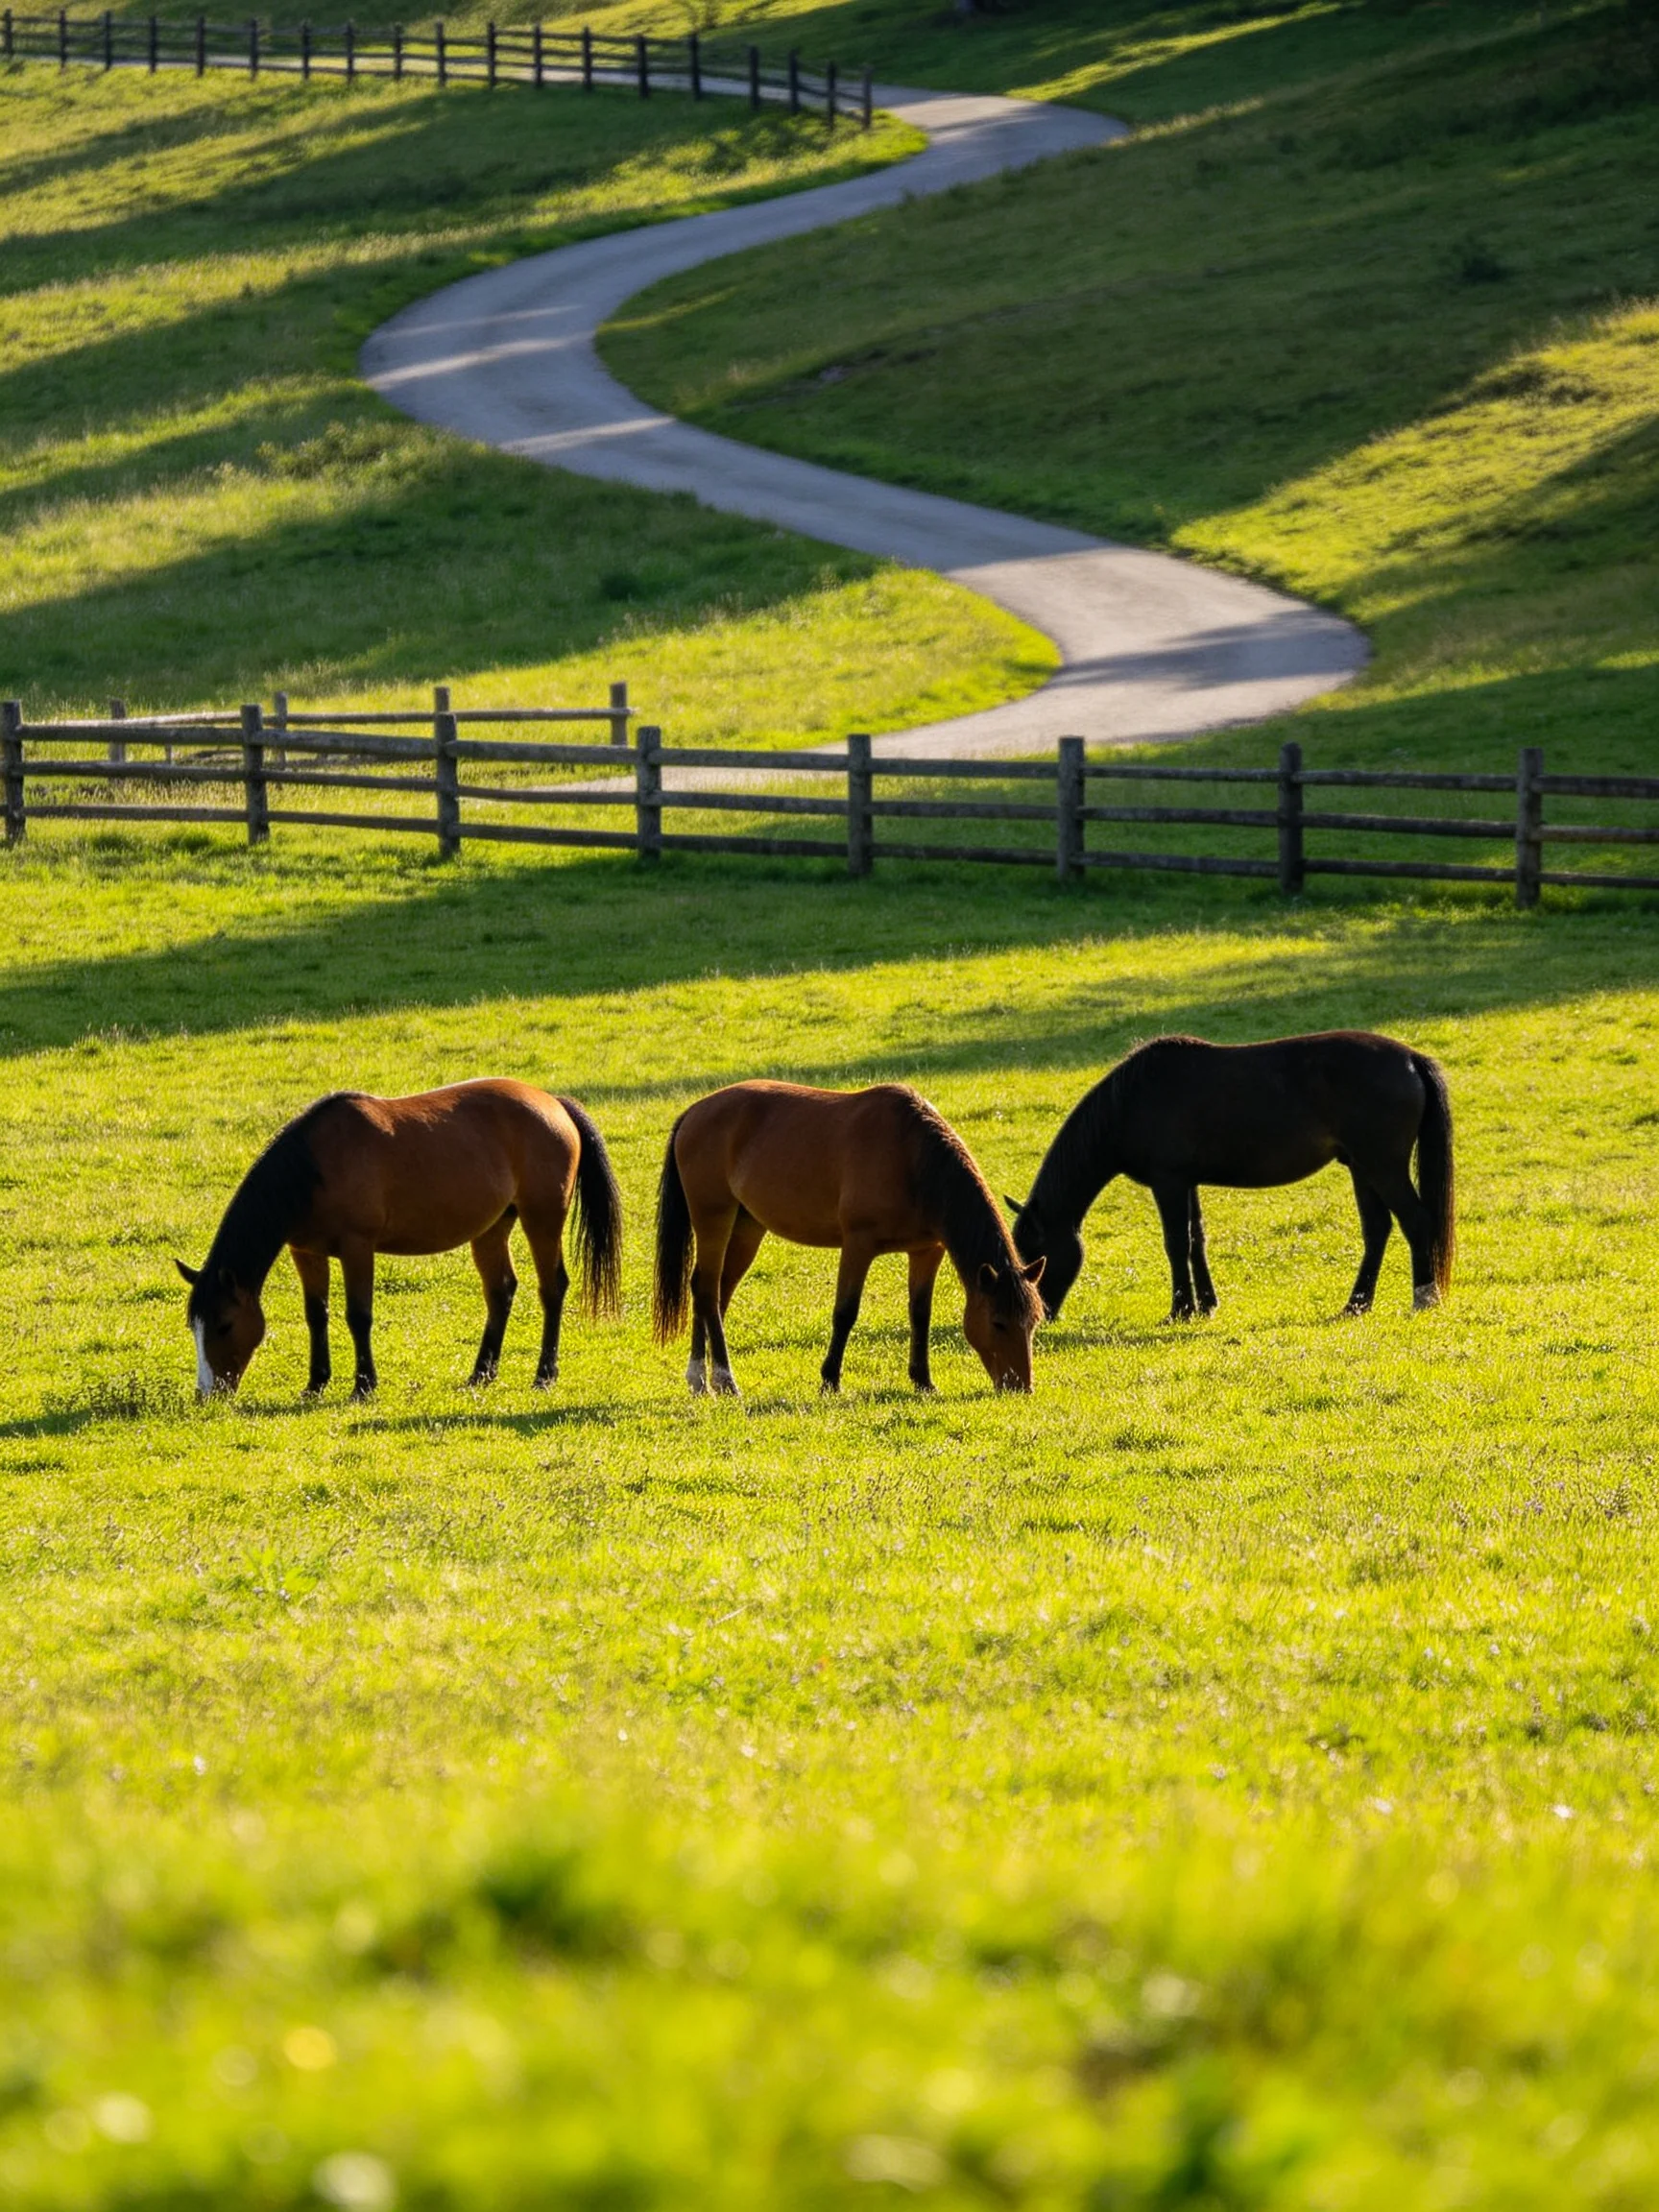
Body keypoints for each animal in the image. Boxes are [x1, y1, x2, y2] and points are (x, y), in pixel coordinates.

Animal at [177, 1081, 622, 1399]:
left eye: (224, 1324)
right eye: (193, 1326)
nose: (207, 1394)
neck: (313, 1169)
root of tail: (554, 1104)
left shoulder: (357, 1248)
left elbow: (358, 1316)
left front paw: (363, 1385)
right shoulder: (305, 1252)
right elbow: (316, 1315)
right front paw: (316, 1383)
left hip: (542, 1218)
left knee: (552, 1289)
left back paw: (544, 1374)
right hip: (493, 1227)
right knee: (500, 1291)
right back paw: (481, 1373)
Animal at [652, 1081, 1045, 1396]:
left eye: (1034, 1322)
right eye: (998, 1322)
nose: (1020, 1387)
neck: (912, 1158)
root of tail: (694, 1113)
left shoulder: (926, 1251)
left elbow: (920, 1314)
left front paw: (923, 1380)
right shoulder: (858, 1245)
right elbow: (845, 1312)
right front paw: (830, 1379)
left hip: (747, 1226)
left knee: (715, 1293)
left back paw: (701, 1379)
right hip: (713, 1217)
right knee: (706, 1288)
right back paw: (723, 1378)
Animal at [1008, 1032, 1454, 1323]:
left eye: (1035, 1255)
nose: (1041, 1315)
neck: (1130, 1102)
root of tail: (1411, 1059)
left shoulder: (1168, 1182)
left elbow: (1176, 1243)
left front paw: (1180, 1309)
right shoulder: (1186, 1182)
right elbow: (1196, 1240)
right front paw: (1206, 1304)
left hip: (1383, 1166)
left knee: (1417, 1221)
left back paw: (1423, 1298)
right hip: (1362, 1168)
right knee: (1377, 1230)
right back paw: (1356, 1304)